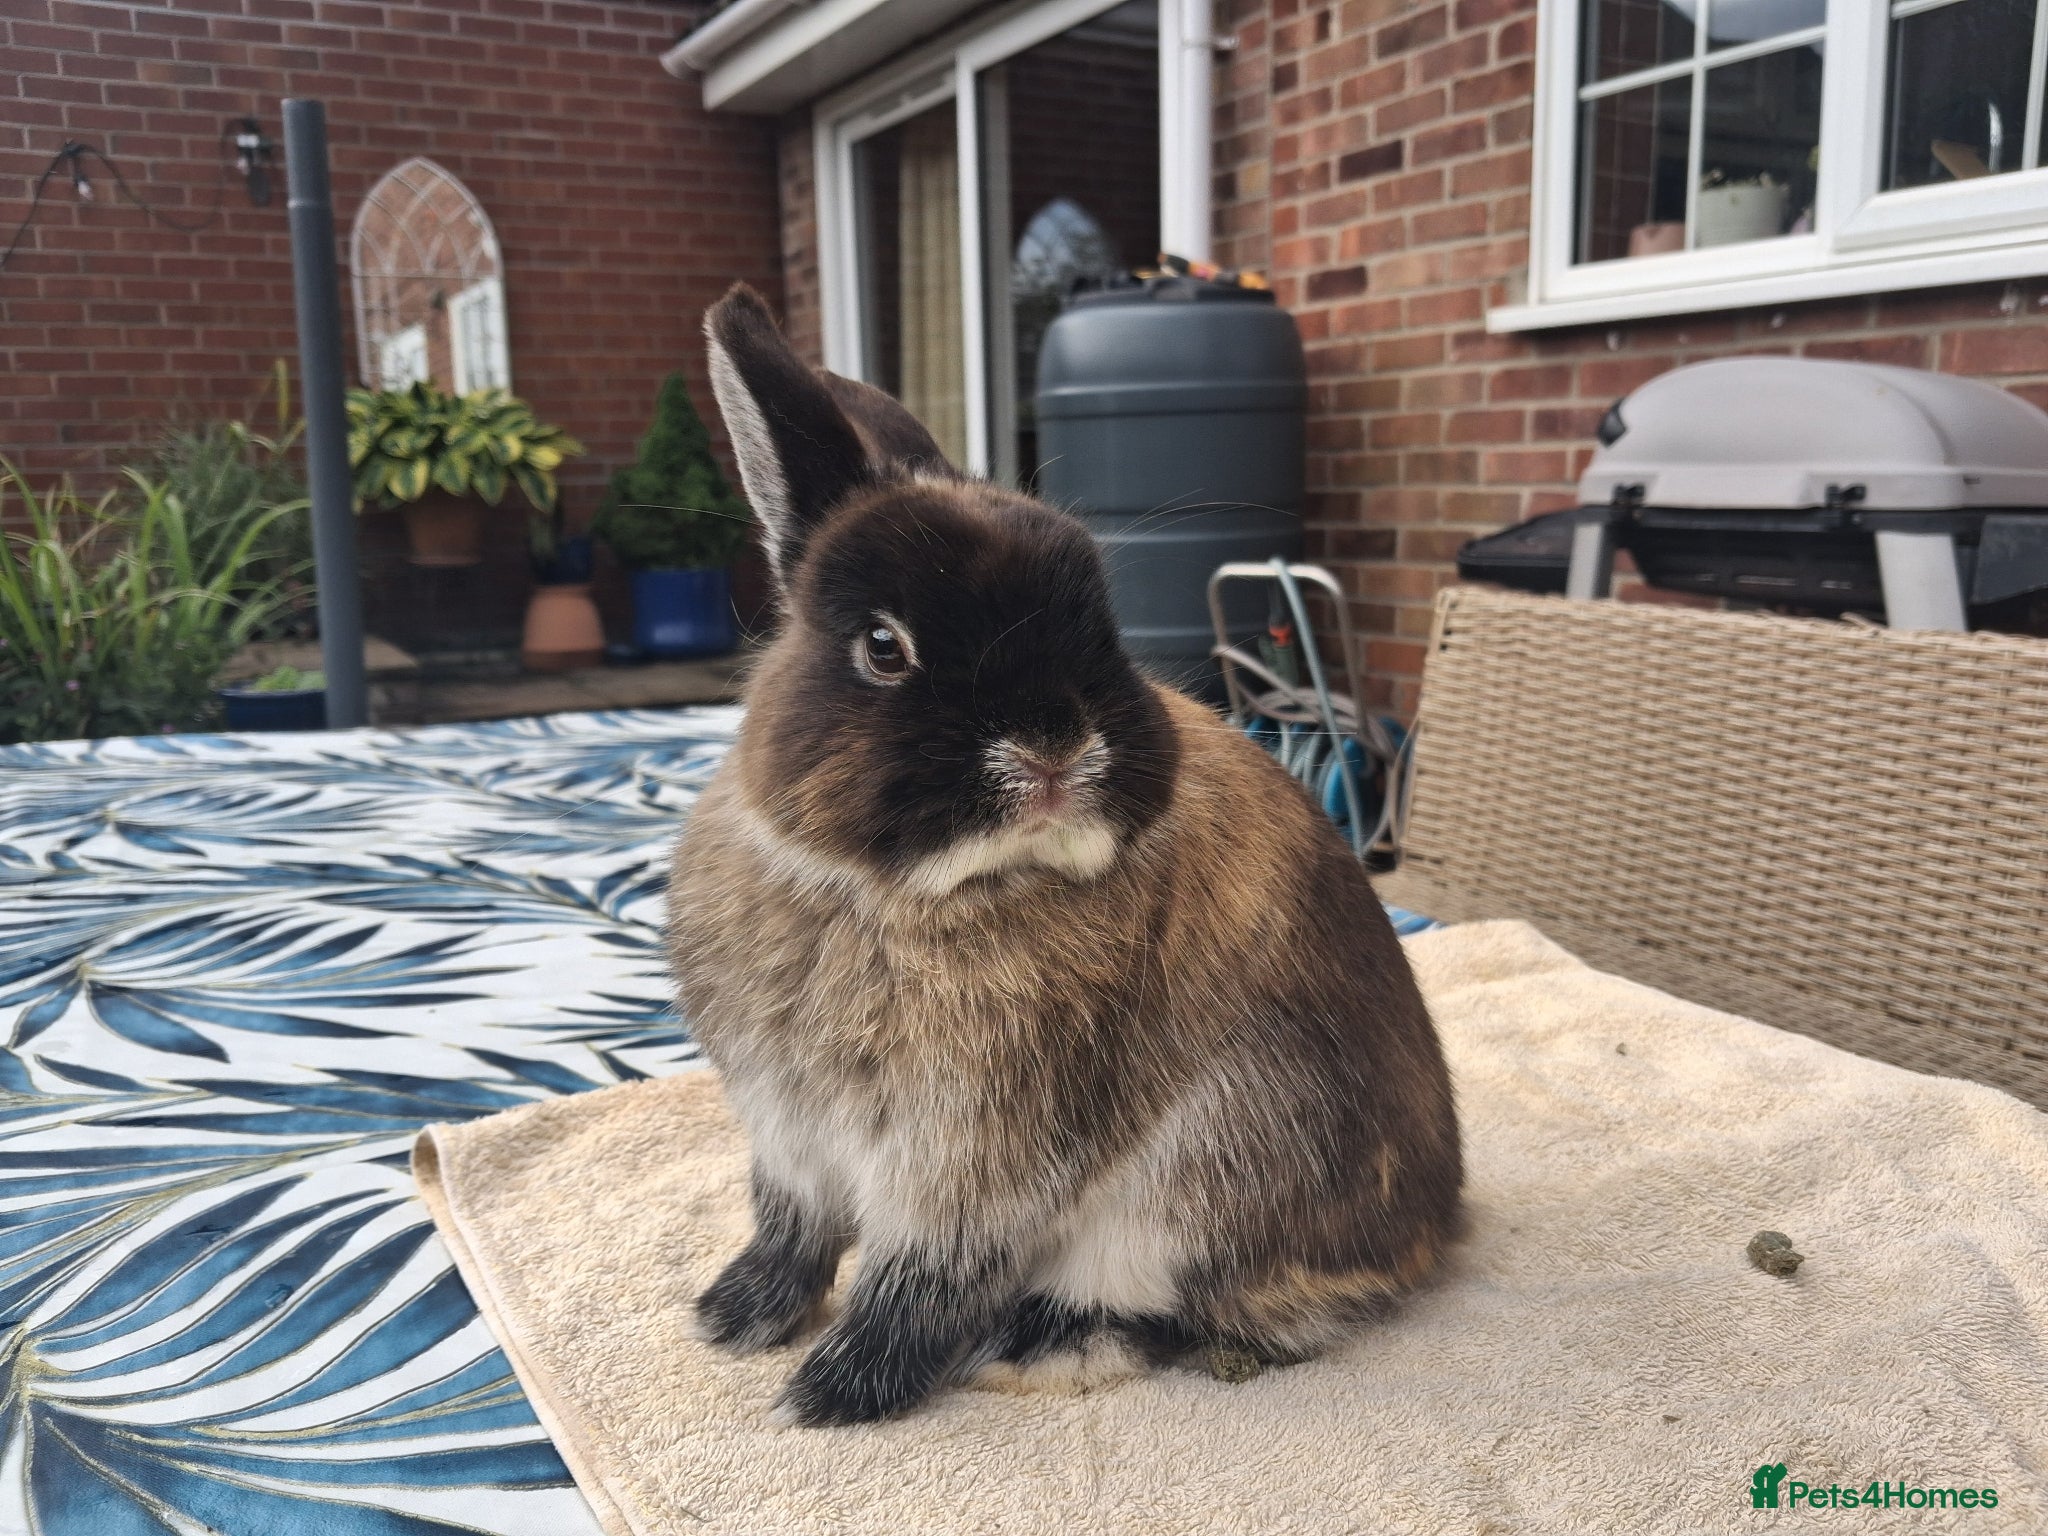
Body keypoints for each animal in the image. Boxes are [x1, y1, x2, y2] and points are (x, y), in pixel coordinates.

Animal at [667, 283, 1461, 1427]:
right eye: (882, 647)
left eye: (1104, 626)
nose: (1053, 745)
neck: (897, 897)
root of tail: (1436, 1231)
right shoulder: (790, 1137)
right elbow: (793, 1227)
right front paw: (733, 1317)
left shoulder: (973, 1157)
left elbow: (920, 1273)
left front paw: (831, 1392)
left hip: (1204, 1176)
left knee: (1197, 1314)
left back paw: (1040, 1345)